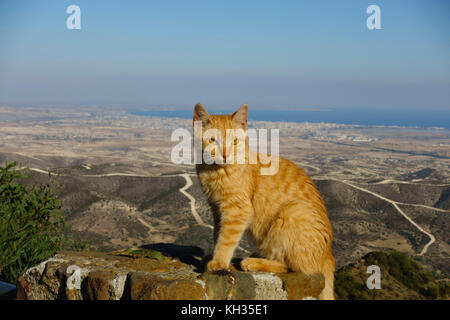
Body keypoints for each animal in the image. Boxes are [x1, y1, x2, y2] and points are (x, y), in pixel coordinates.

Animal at [193, 103, 334, 300]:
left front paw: (219, 262)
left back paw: (253, 262)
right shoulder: (217, 209)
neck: (214, 171)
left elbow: (226, 239)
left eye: (235, 142)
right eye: (213, 140)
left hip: (290, 215)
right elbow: (217, 235)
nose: (225, 155)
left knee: (291, 266)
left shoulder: (237, 209)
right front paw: (214, 256)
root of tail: (328, 255)